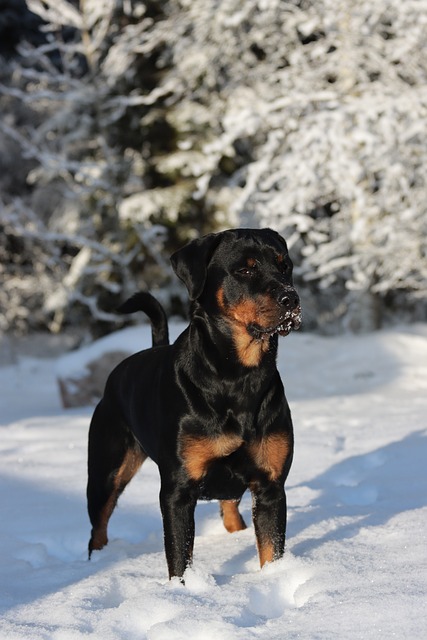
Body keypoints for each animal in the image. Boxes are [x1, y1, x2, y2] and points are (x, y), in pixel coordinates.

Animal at [87, 229, 300, 580]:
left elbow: (271, 550)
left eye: (285, 266)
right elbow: (179, 558)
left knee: (230, 509)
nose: (291, 299)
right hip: (107, 470)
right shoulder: (178, 491)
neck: (239, 377)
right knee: (98, 526)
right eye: (245, 269)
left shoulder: (270, 486)